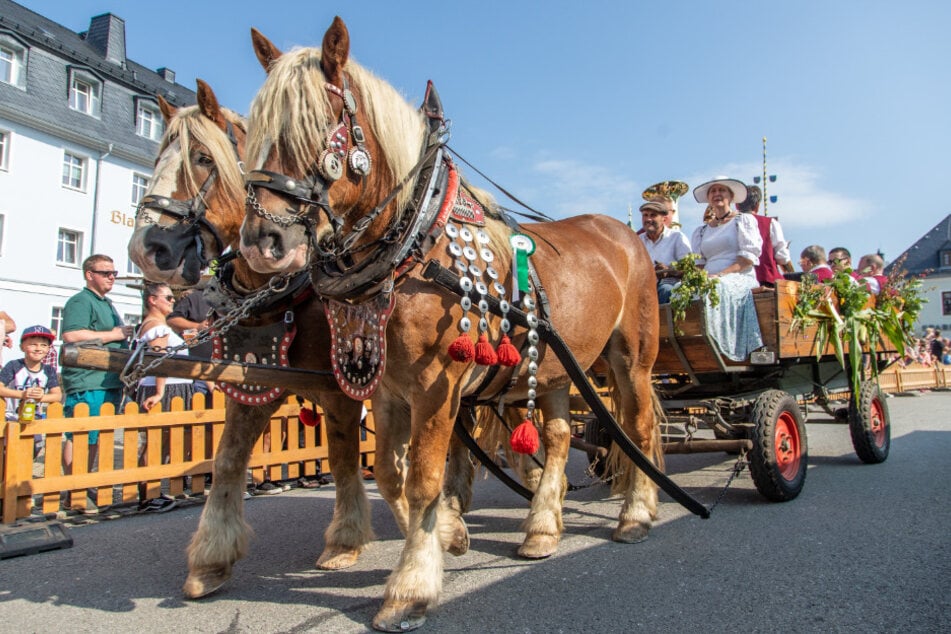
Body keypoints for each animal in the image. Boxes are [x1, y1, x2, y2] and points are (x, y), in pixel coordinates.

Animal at [240, 17, 660, 628]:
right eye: (255, 131)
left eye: (318, 125)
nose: (261, 243)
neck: (415, 244)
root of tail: (626, 233)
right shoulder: (387, 390)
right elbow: (390, 473)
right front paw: (451, 536)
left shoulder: (437, 386)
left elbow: (424, 479)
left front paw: (410, 586)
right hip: (558, 366)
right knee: (559, 437)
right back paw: (542, 527)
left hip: (632, 360)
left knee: (639, 426)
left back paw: (636, 514)